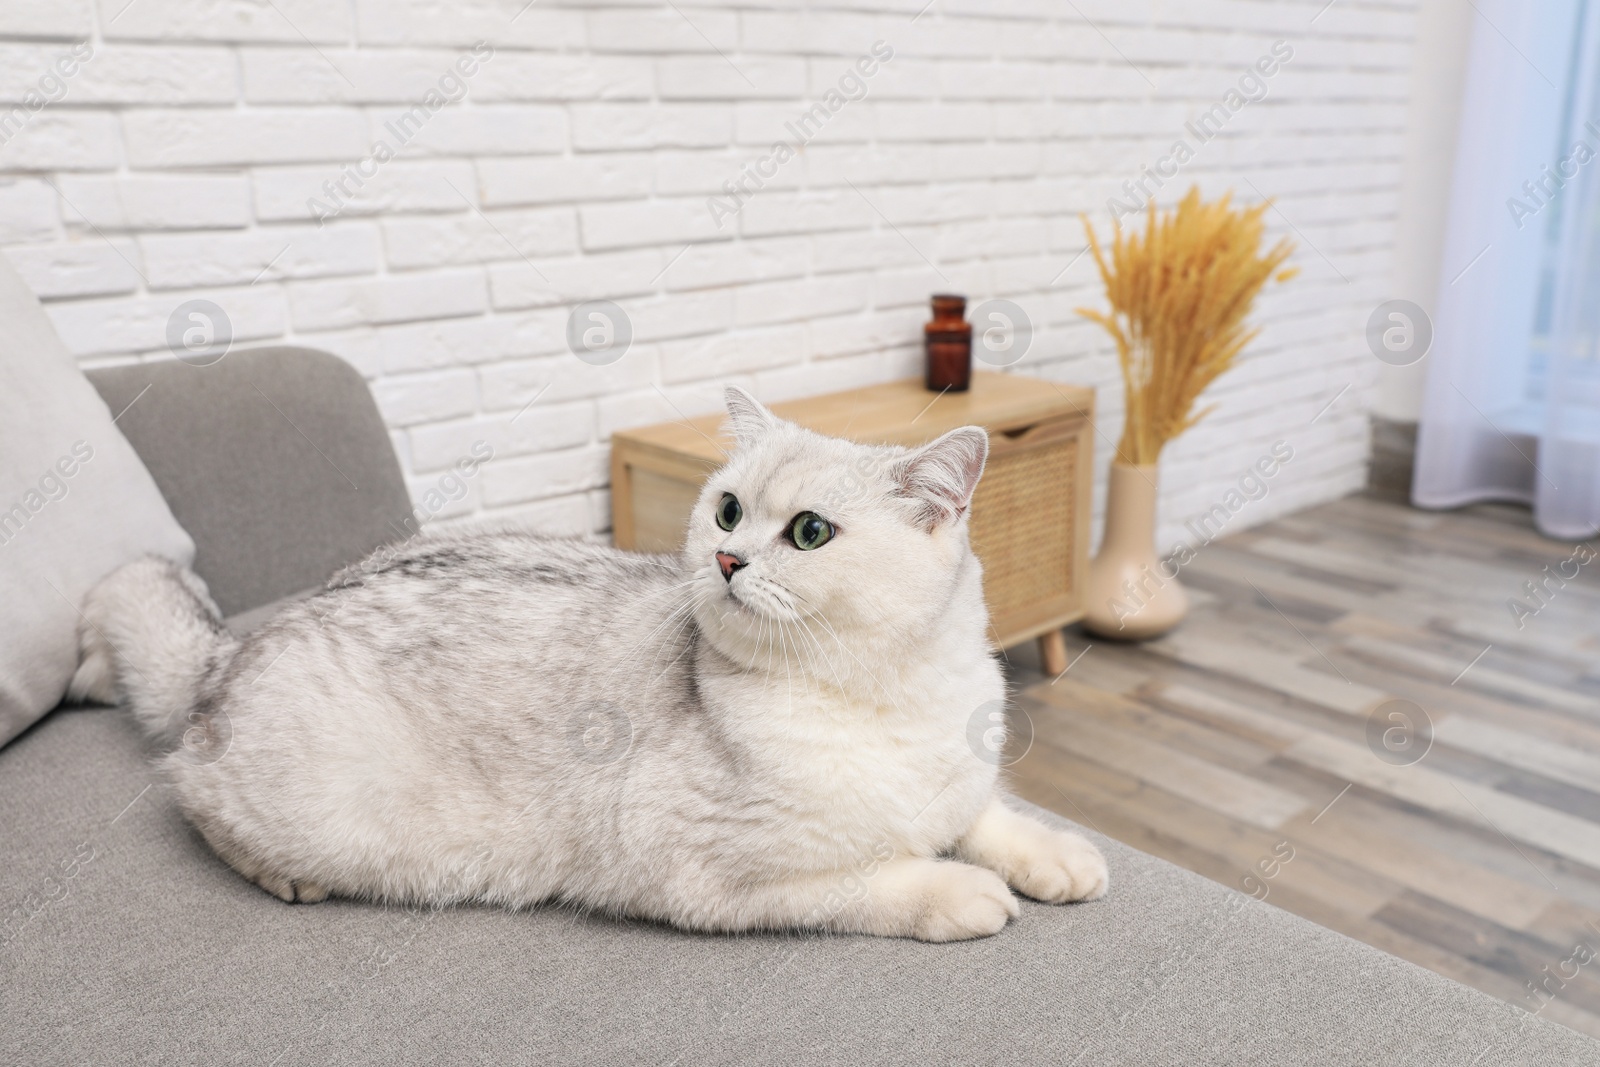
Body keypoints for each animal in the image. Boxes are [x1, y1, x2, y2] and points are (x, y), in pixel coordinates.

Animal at [68, 388, 1107, 940]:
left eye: (809, 532)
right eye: (729, 510)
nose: (726, 560)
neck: (888, 693)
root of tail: (230, 648)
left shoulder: (960, 777)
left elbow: (985, 810)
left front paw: (1055, 854)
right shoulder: (712, 875)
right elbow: (880, 874)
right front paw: (960, 890)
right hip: (309, 812)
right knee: (190, 793)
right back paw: (281, 874)